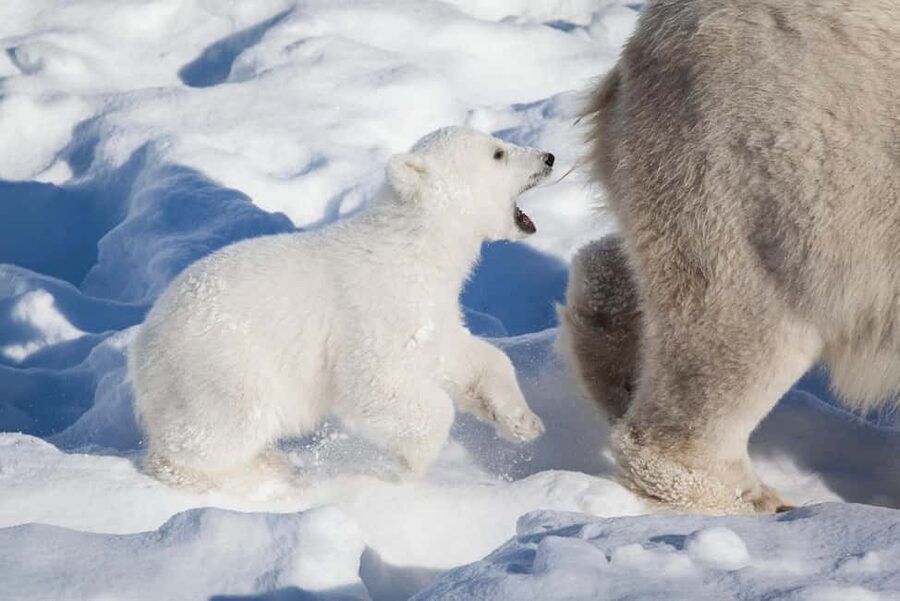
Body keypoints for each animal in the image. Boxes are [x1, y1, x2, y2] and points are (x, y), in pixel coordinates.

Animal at [129, 126, 553, 491]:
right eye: (498, 152)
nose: (548, 157)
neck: (414, 246)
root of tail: (143, 345)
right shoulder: (374, 312)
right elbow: (377, 384)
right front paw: (408, 465)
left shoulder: (428, 309)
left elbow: (461, 354)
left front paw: (522, 421)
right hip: (222, 365)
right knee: (219, 430)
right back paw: (256, 472)